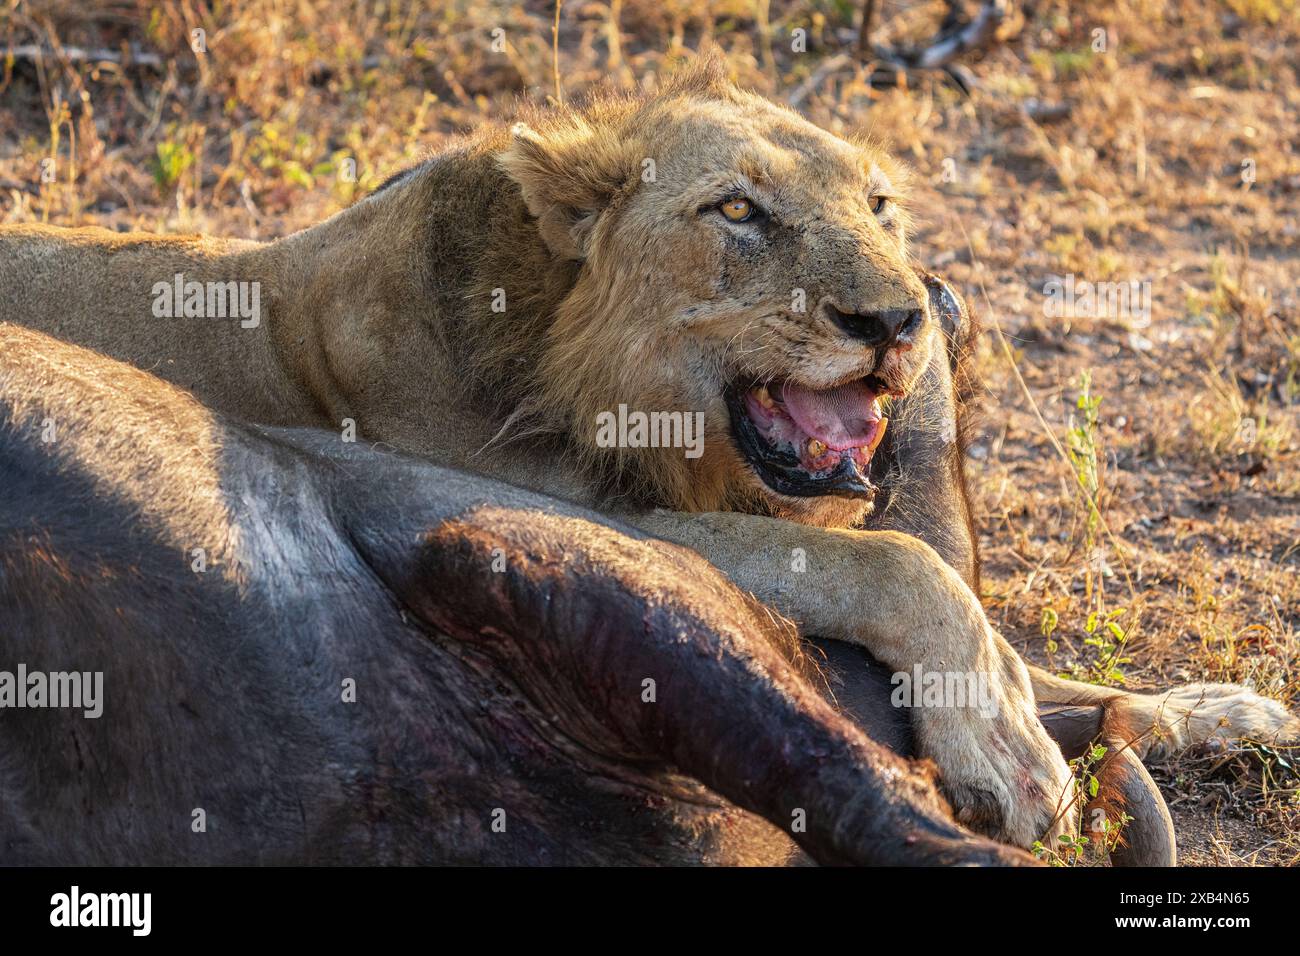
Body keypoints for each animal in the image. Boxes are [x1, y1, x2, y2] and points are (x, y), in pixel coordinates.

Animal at [2, 54, 1295, 852]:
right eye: (738, 212)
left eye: (880, 205)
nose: (900, 318)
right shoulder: (571, 517)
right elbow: (900, 568)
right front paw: (1008, 754)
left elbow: (1046, 661)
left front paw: (1225, 711)